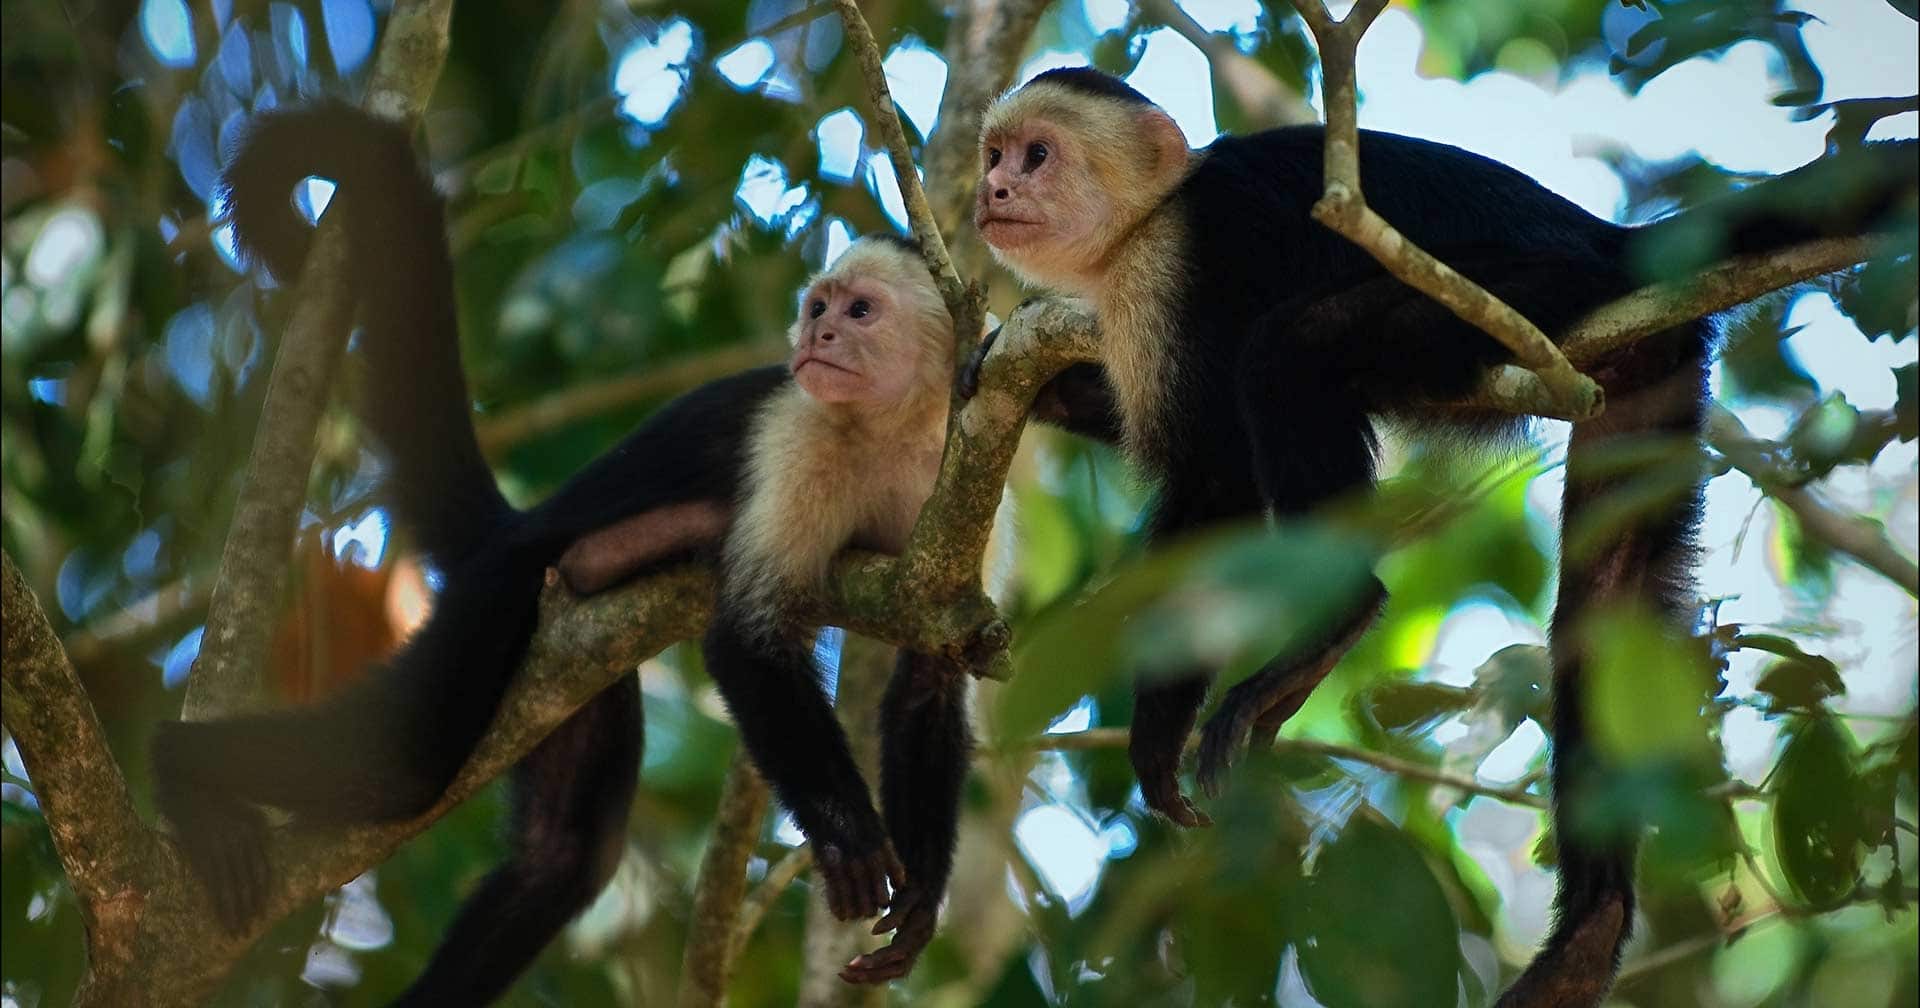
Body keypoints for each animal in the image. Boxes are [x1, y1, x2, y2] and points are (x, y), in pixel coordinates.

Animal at [149, 104, 975, 1004]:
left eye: (859, 311)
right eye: (820, 304)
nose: (818, 330)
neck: (888, 429)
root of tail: (517, 526)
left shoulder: (952, 467)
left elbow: (930, 673)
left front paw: (924, 902)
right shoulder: (799, 437)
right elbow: (744, 638)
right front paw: (846, 835)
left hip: (568, 665)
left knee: (563, 858)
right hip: (500, 587)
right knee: (404, 764)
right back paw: (181, 768)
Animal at [967, 67, 1916, 1007]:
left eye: (1037, 155)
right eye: (993, 155)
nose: (992, 190)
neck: (1147, 220)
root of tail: (1612, 243)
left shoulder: (1183, 263)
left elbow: (1218, 477)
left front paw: (1158, 732)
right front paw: (1005, 376)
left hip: (1525, 293)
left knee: (1289, 350)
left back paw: (1334, 624)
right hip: (1648, 360)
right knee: (1601, 615)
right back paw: (1590, 931)